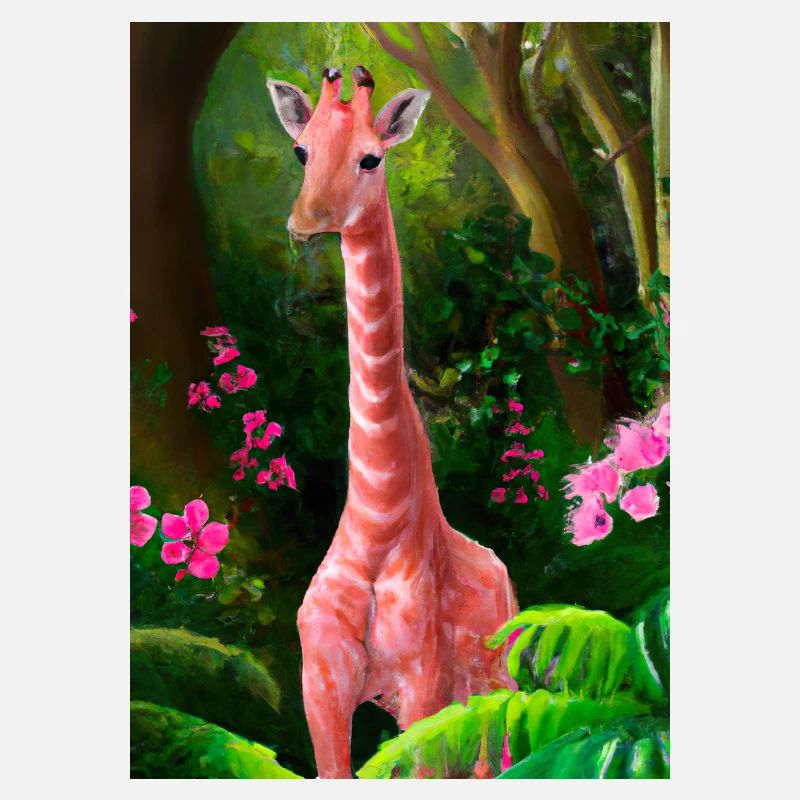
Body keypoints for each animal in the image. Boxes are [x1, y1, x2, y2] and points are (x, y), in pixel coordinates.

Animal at [267, 66, 518, 779]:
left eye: (371, 157)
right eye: (301, 150)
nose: (306, 222)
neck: (377, 526)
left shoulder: (423, 689)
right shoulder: (321, 687)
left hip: (490, 693)